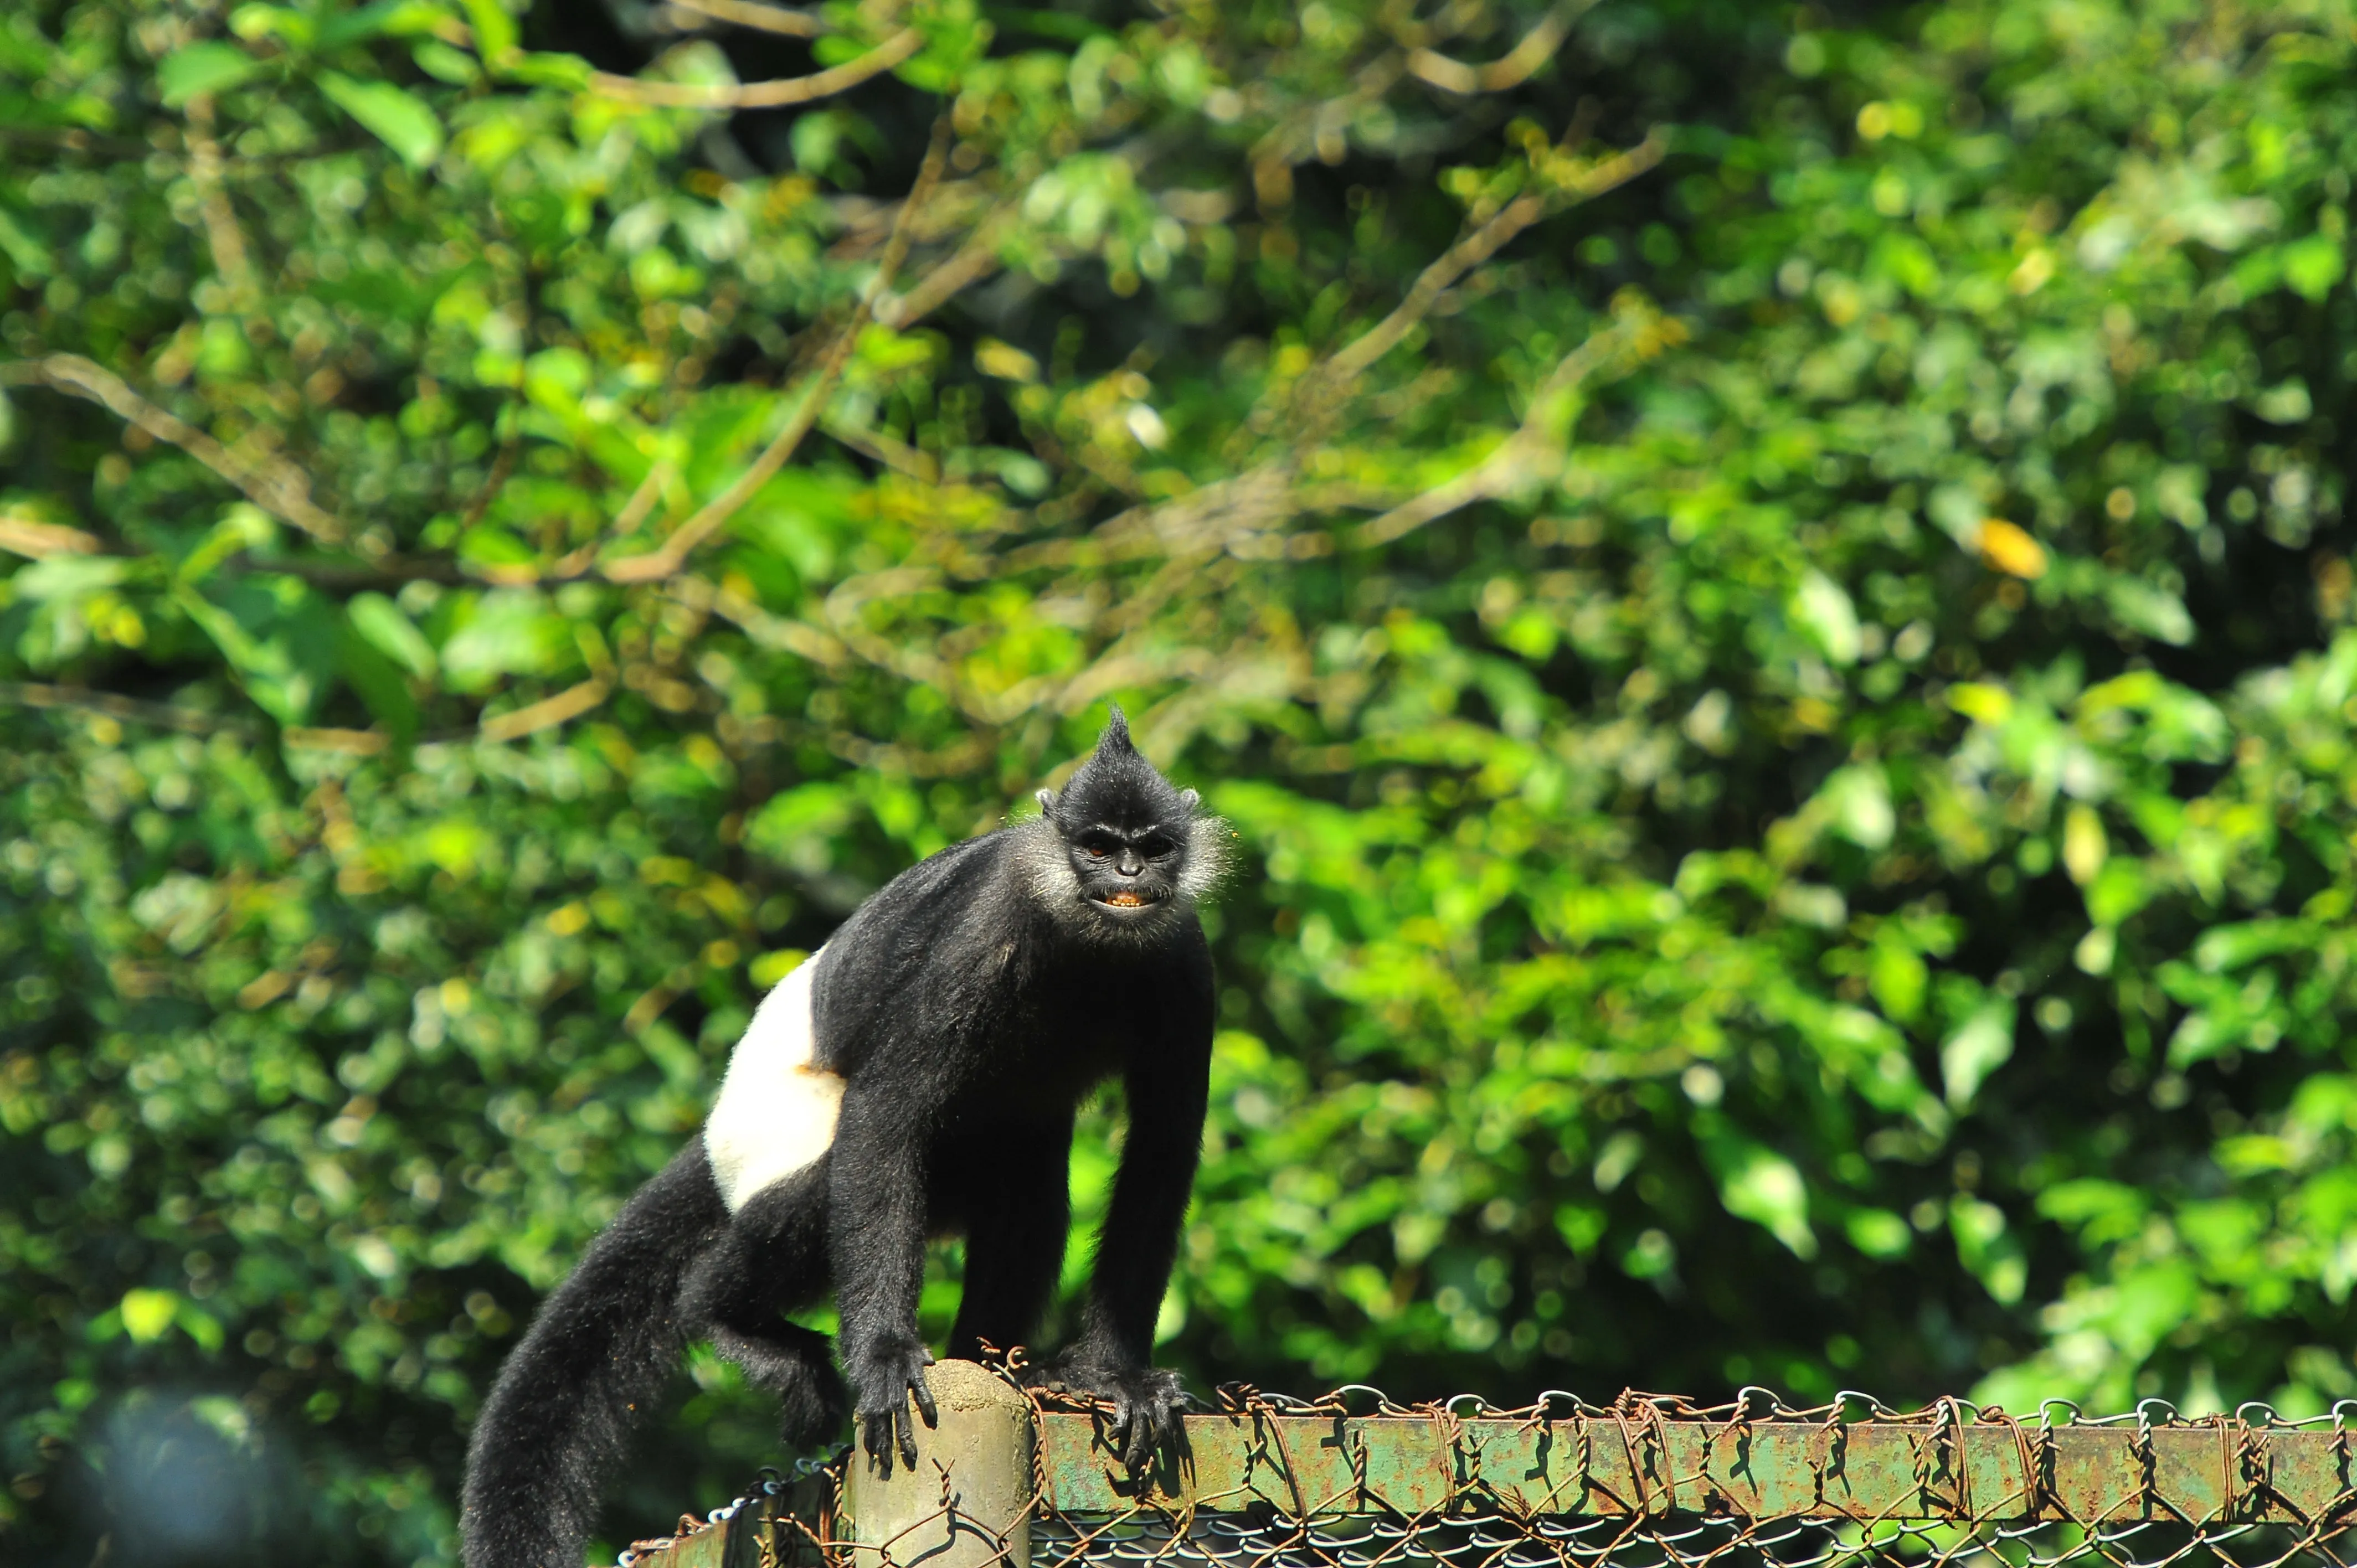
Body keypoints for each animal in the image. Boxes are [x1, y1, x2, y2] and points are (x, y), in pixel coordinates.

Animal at [462, 707, 1235, 1565]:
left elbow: (1161, 1152)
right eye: (1098, 846)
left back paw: (1000, 1367)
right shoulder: (981, 936)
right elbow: (887, 1110)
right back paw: (727, 1317)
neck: (1086, 946)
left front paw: (1109, 1378)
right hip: (766, 1136)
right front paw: (885, 1358)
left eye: (1153, 847)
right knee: (814, 1190)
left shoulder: (1184, 963)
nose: (1128, 874)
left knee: (1026, 1191)